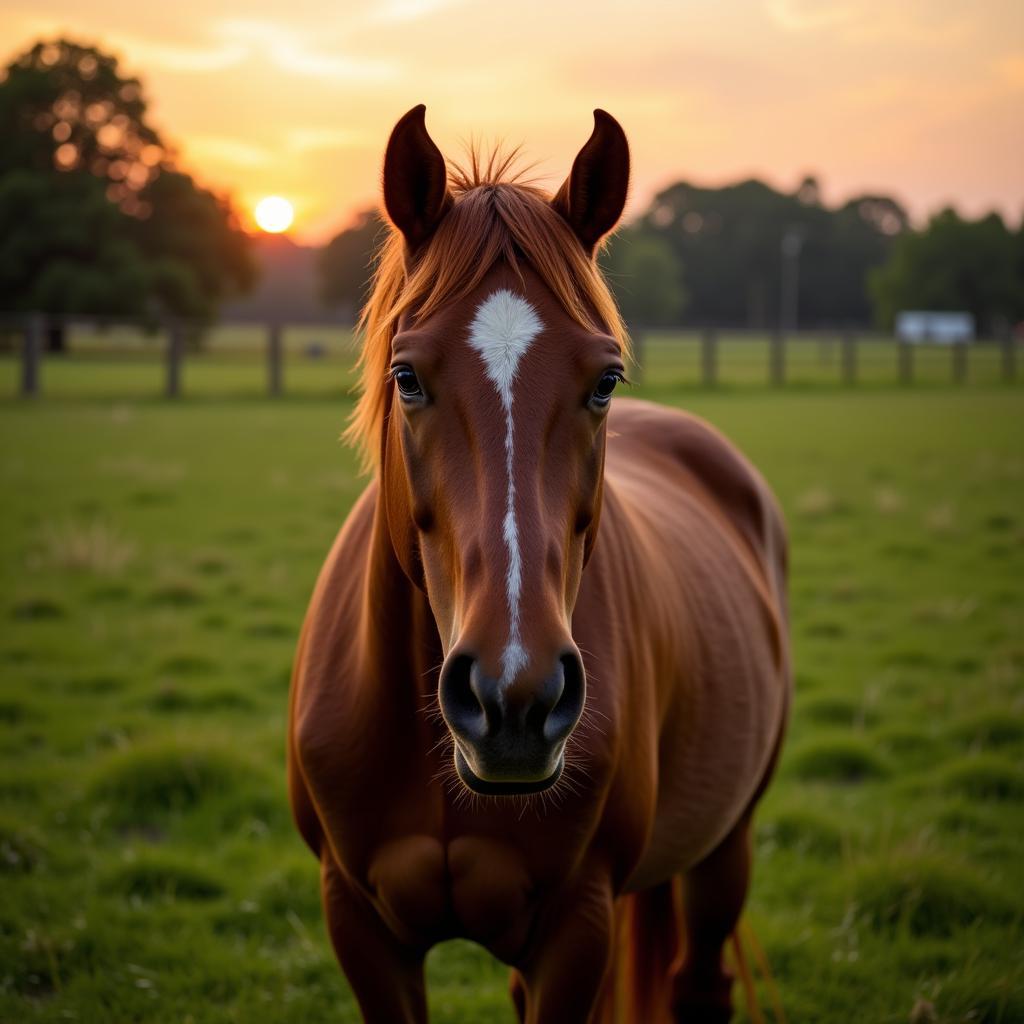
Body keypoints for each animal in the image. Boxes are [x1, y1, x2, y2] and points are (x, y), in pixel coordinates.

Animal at [288, 105, 790, 1024]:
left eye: (605, 380)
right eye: (406, 376)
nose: (513, 697)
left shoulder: (577, 930)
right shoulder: (359, 925)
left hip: (723, 849)